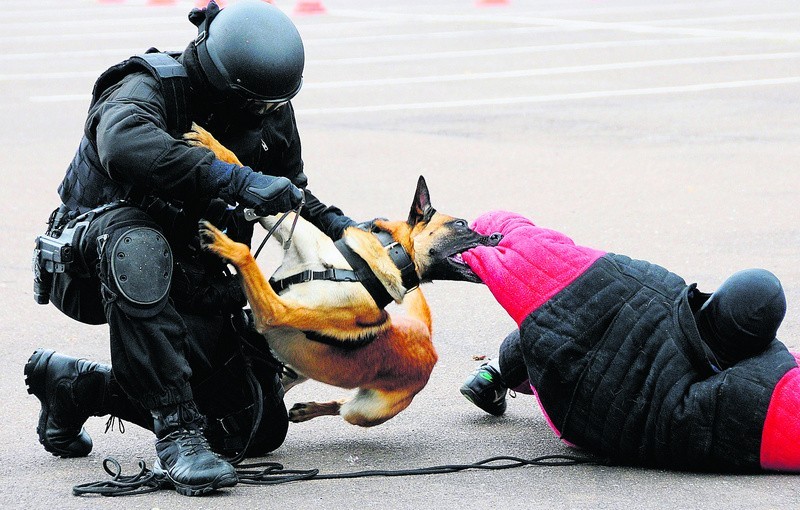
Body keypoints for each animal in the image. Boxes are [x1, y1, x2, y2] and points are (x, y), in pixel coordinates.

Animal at [189, 124, 494, 426]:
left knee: (342, 407)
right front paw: (214, 146)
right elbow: (259, 180)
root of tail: (426, 337)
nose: (497, 236)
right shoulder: (288, 222)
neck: (362, 266)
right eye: (461, 224)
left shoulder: (276, 311)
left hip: (364, 412)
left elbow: (247, 257)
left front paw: (226, 244)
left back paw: (311, 409)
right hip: (300, 369)